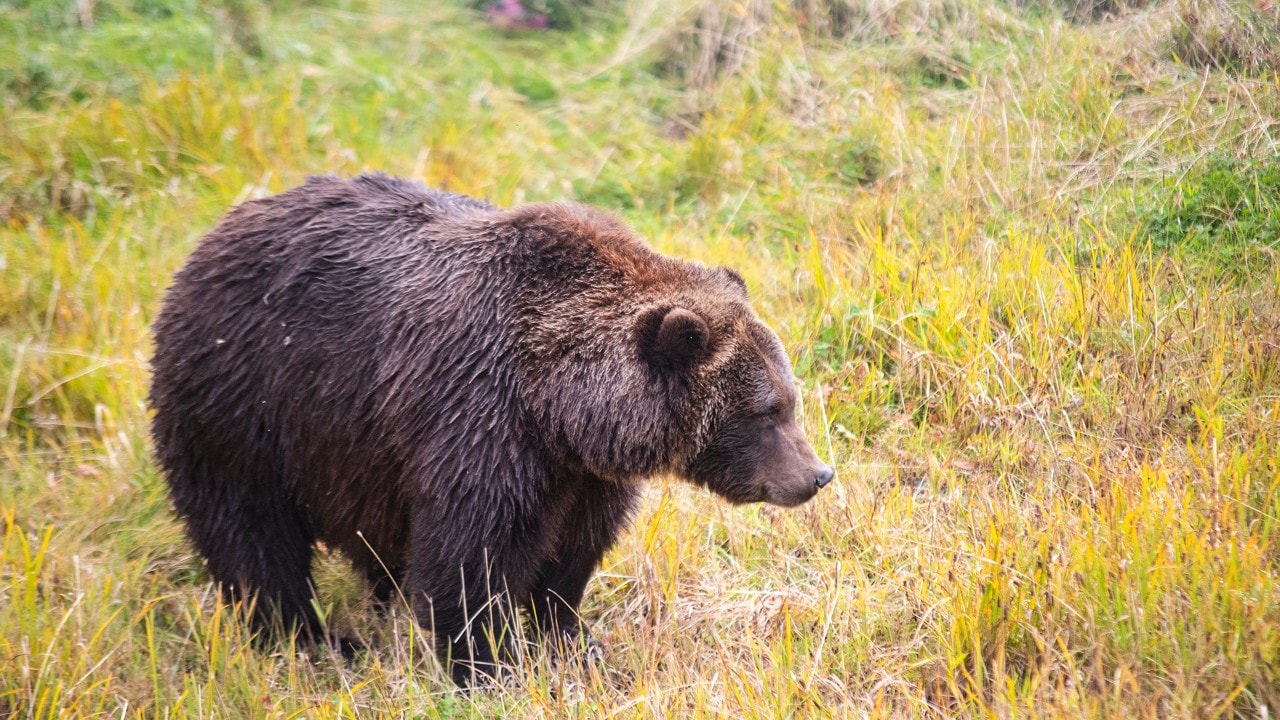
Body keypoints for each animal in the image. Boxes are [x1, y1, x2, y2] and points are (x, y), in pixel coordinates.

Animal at [148, 174, 833, 685]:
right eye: (766, 411)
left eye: (790, 399)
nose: (817, 475)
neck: (559, 409)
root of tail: (211, 237)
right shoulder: (478, 422)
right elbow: (470, 558)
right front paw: (486, 668)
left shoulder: (581, 475)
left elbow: (571, 555)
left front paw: (574, 641)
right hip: (247, 407)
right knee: (252, 537)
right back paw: (314, 642)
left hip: (351, 448)